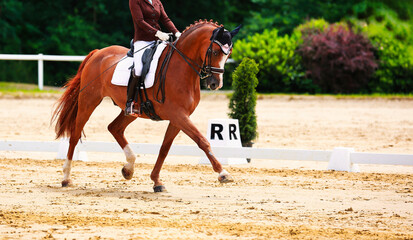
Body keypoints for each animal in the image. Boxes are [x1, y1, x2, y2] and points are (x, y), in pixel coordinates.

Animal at [52, 21, 238, 193]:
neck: (182, 68)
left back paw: (128, 168)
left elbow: (164, 148)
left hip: (130, 110)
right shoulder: (178, 115)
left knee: (114, 128)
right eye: (214, 52)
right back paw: (66, 177)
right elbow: (202, 141)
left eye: (228, 54)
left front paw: (156, 181)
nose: (215, 84)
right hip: (88, 101)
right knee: (75, 135)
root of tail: (98, 53)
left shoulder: (178, 118)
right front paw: (223, 174)